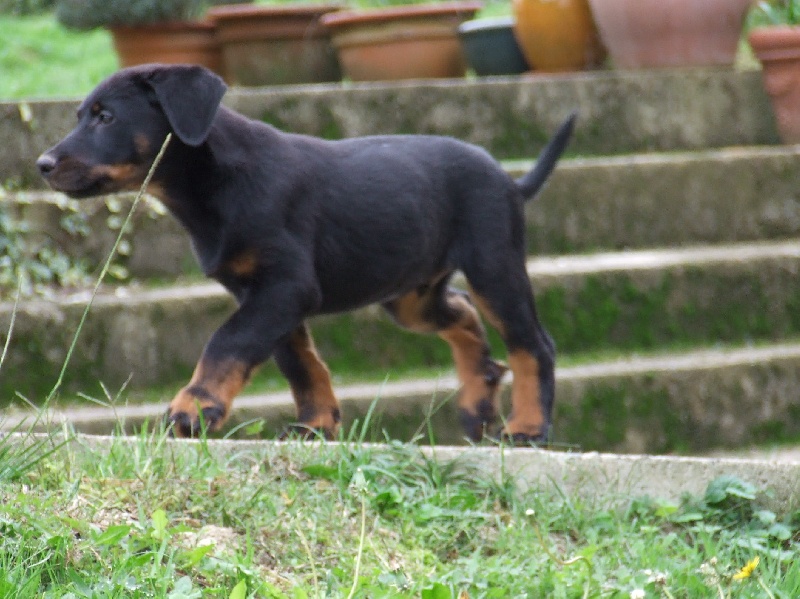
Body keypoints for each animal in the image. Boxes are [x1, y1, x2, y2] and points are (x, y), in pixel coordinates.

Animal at [37, 63, 576, 442]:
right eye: (82, 115)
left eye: (106, 117)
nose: (42, 164)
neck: (214, 185)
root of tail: (508, 179)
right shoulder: (263, 295)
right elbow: (298, 362)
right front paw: (317, 424)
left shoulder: (284, 286)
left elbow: (227, 344)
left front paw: (193, 407)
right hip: (410, 295)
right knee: (463, 314)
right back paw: (476, 401)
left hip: (493, 264)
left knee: (533, 344)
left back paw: (528, 427)